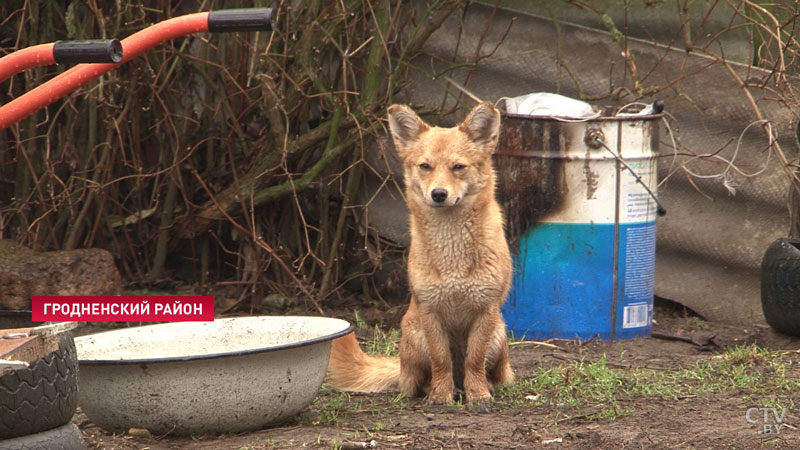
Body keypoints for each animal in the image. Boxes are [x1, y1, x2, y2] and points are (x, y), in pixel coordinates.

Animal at [328, 102, 516, 412]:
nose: (438, 194)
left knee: (485, 373)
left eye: (458, 167)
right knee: (422, 380)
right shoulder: (431, 312)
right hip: (416, 338)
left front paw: (478, 396)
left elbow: (474, 361)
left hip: (499, 336)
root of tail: (400, 365)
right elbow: (441, 362)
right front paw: (440, 395)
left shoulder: (485, 311)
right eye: (425, 166)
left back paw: (480, 387)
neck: (452, 254)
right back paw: (442, 389)